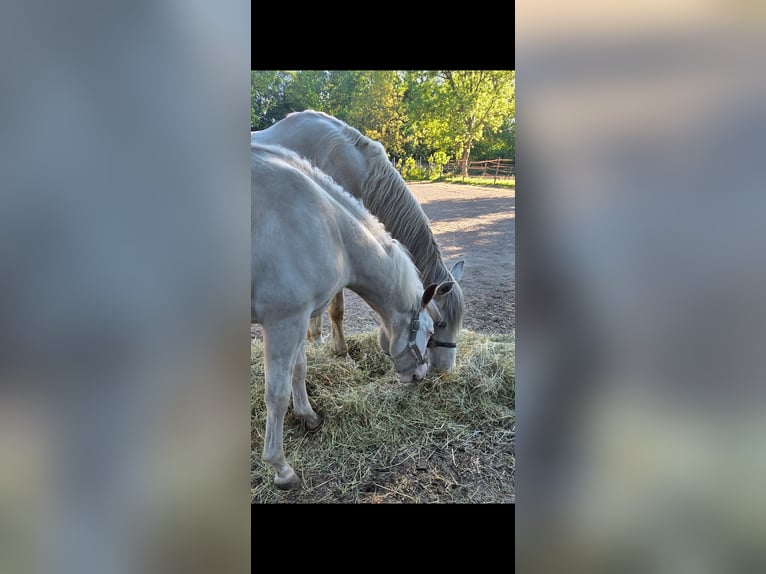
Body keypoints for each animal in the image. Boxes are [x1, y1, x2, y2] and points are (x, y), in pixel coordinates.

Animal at [251, 142, 453, 489]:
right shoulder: (283, 322)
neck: (327, 226)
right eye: (430, 331)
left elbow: (299, 370)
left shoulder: (300, 318)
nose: (419, 376)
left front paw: (308, 416)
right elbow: (276, 394)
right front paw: (281, 468)